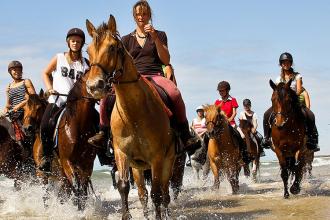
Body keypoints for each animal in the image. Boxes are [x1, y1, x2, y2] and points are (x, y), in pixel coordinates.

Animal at [86, 15, 177, 218]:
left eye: (112, 47)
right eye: (88, 51)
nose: (94, 86)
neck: (134, 114)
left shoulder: (157, 158)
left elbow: (157, 193)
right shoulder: (122, 153)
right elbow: (124, 186)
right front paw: (126, 215)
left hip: (168, 161)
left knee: (164, 191)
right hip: (138, 168)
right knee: (143, 193)